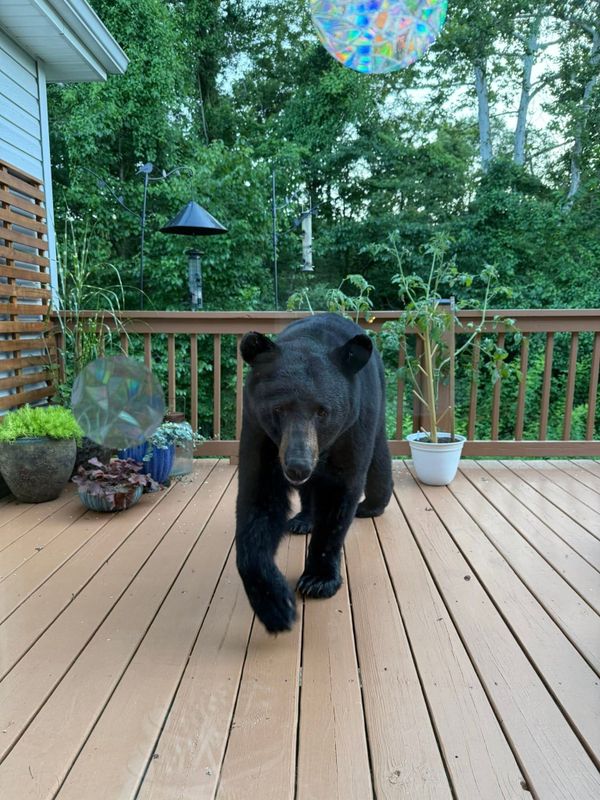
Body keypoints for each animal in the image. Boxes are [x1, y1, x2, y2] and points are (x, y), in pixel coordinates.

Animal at [235, 313, 392, 633]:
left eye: (323, 411)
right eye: (278, 408)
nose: (298, 465)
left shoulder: (351, 426)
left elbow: (340, 493)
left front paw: (318, 579)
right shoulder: (259, 428)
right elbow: (258, 499)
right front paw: (275, 604)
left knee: (379, 453)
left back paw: (372, 505)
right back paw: (303, 519)